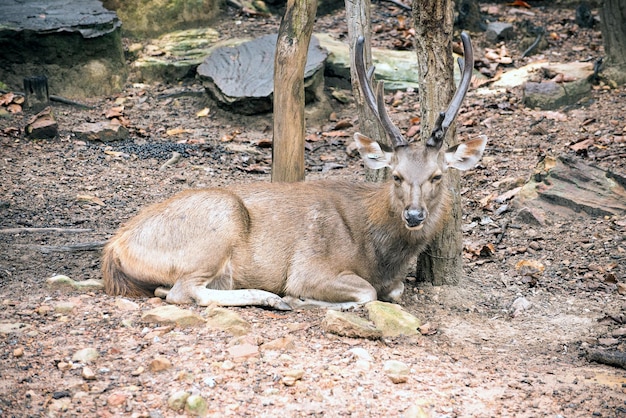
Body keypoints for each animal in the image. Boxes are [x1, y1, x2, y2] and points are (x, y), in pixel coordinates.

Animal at [102, 33, 486, 310]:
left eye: (437, 176)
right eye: (396, 176)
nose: (414, 215)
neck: (378, 255)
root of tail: (114, 248)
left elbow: (393, 291)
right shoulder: (310, 267)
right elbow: (367, 293)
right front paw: (299, 298)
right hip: (218, 223)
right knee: (182, 291)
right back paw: (271, 298)